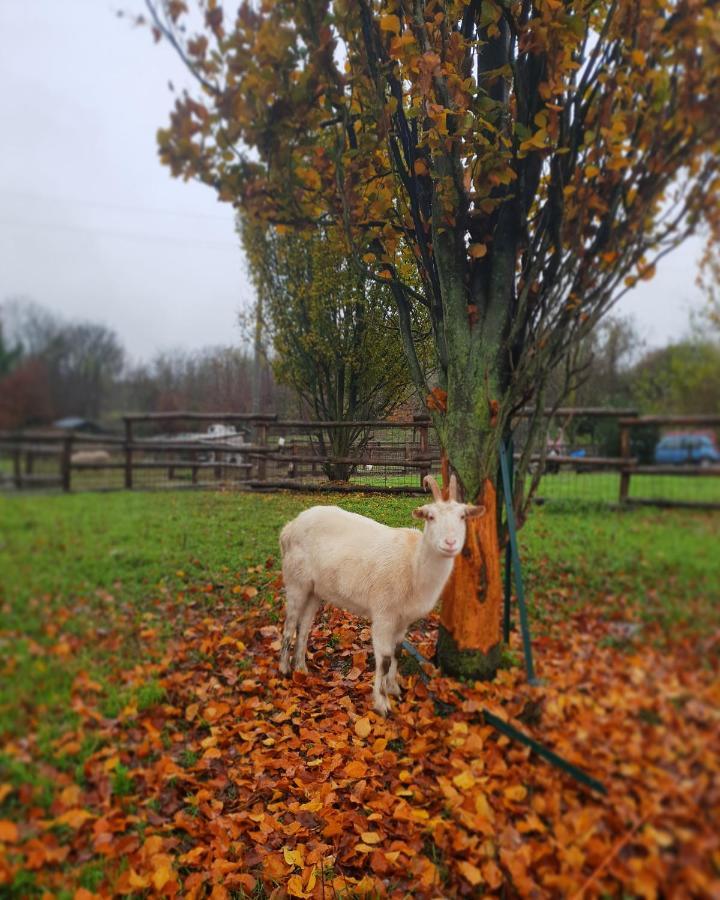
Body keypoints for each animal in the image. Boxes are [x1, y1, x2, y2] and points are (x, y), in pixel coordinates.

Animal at [278, 474, 486, 712]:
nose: (450, 543)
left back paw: (301, 668)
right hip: (296, 580)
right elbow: (385, 658)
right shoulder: (384, 613)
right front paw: (382, 703)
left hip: (314, 589)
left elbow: (396, 652)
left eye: (462, 516)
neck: (413, 565)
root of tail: (289, 527)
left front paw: (393, 688)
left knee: (303, 627)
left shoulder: (403, 618)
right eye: (431, 516)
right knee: (289, 624)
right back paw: (284, 669)